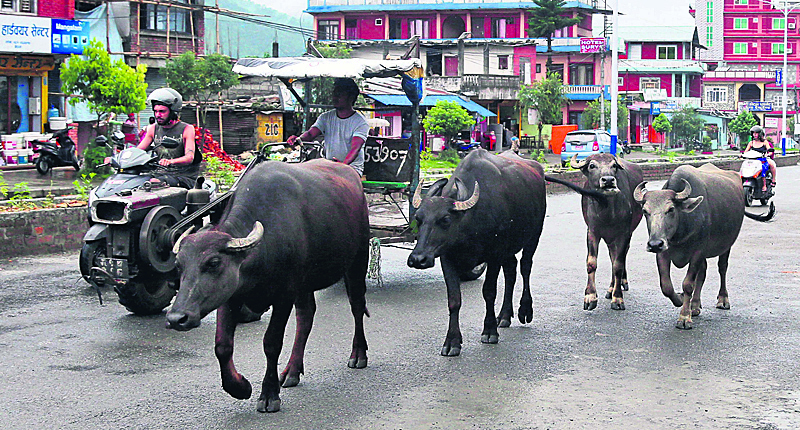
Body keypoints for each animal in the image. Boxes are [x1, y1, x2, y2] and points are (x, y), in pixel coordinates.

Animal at [167, 159, 371, 413]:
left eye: (213, 262)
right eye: (178, 265)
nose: (177, 318)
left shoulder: (284, 295)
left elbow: (271, 343)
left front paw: (269, 394)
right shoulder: (230, 296)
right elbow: (222, 346)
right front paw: (240, 387)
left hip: (358, 259)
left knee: (357, 306)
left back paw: (358, 354)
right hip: (305, 283)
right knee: (306, 316)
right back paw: (292, 370)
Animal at [407, 149, 546, 356]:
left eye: (445, 219)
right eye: (418, 218)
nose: (418, 259)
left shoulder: (494, 255)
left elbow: (489, 292)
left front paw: (489, 331)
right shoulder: (447, 258)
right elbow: (454, 299)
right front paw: (452, 341)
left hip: (534, 235)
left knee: (525, 267)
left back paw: (524, 310)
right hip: (509, 250)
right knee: (511, 271)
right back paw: (504, 315)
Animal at [545, 154, 644, 311]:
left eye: (614, 165)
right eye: (592, 165)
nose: (608, 180)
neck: (607, 211)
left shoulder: (623, 233)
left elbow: (618, 264)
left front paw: (617, 298)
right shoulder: (592, 232)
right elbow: (592, 263)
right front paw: (590, 297)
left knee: (620, 258)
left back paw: (620, 284)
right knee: (612, 256)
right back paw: (610, 288)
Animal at [633, 164, 775, 329]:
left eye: (671, 209)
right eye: (645, 211)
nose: (655, 244)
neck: (681, 229)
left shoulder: (697, 252)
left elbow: (688, 284)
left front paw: (684, 317)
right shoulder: (663, 252)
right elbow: (666, 286)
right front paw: (681, 300)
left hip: (726, 245)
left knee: (722, 268)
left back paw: (722, 299)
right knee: (702, 273)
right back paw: (695, 305)